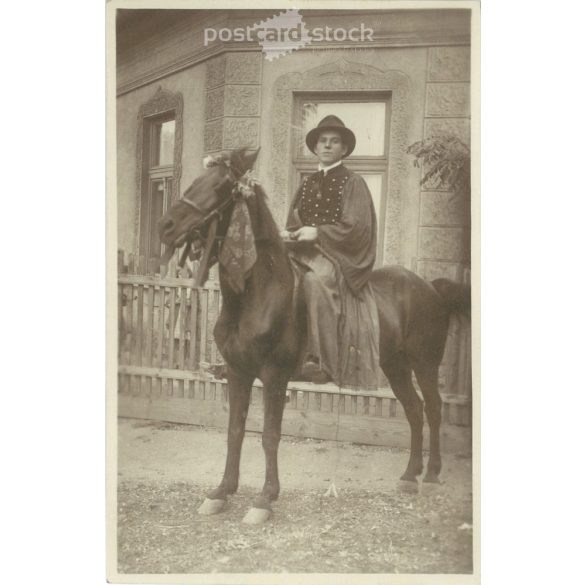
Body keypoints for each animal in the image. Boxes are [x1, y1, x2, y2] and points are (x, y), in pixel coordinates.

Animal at [155, 148, 470, 524]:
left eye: (221, 186)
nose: (166, 226)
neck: (257, 294)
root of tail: (430, 287)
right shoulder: (238, 373)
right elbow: (234, 432)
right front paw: (221, 492)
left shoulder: (275, 376)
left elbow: (270, 435)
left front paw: (265, 499)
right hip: (395, 367)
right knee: (414, 410)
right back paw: (410, 475)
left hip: (424, 363)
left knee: (434, 409)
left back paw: (433, 473)